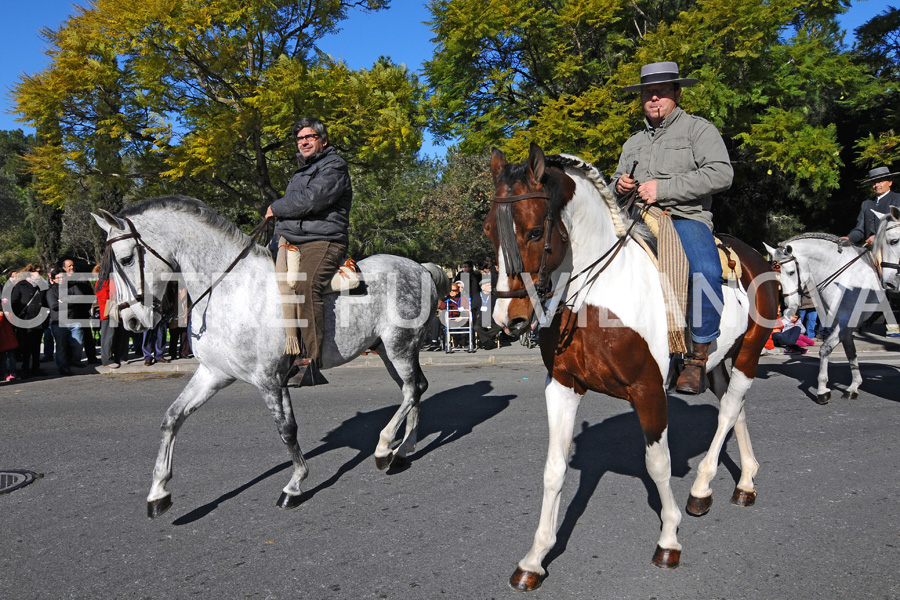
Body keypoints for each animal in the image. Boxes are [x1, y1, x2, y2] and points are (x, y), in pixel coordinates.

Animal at [486, 144, 780, 592]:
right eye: (489, 230)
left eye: (535, 232)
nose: (508, 318)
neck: (597, 297)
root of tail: (753, 257)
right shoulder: (562, 386)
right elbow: (554, 469)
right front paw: (534, 559)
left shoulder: (648, 389)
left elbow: (658, 464)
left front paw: (669, 540)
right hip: (717, 363)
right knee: (736, 407)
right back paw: (743, 481)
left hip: (750, 351)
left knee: (730, 408)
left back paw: (701, 489)